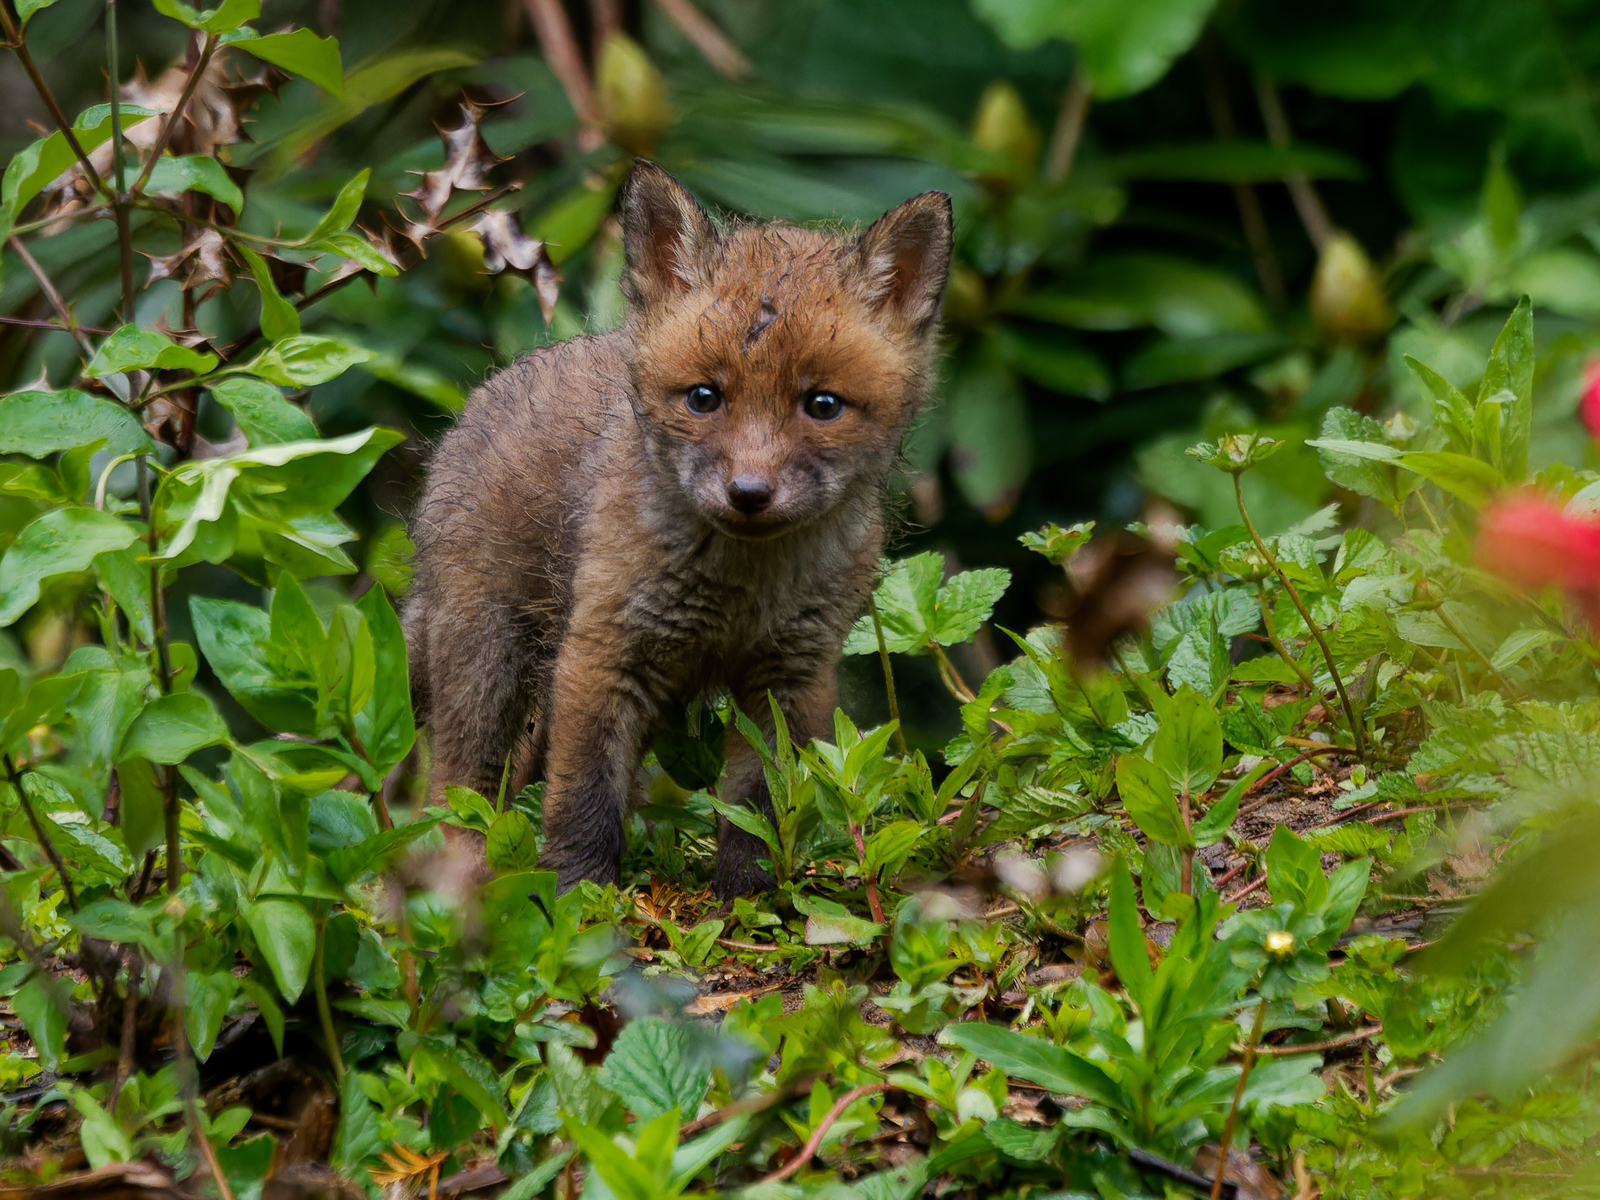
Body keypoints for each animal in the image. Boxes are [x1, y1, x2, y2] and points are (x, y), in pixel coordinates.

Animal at [405, 161, 952, 896]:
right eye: (703, 397)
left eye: (822, 405)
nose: (748, 494)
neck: (739, 592)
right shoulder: (603, 653)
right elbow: (583, 800)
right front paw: (579, 900)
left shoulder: (791, 675)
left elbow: (760, 808)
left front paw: (751, 898)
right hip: (485, 658)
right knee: (457, 788)